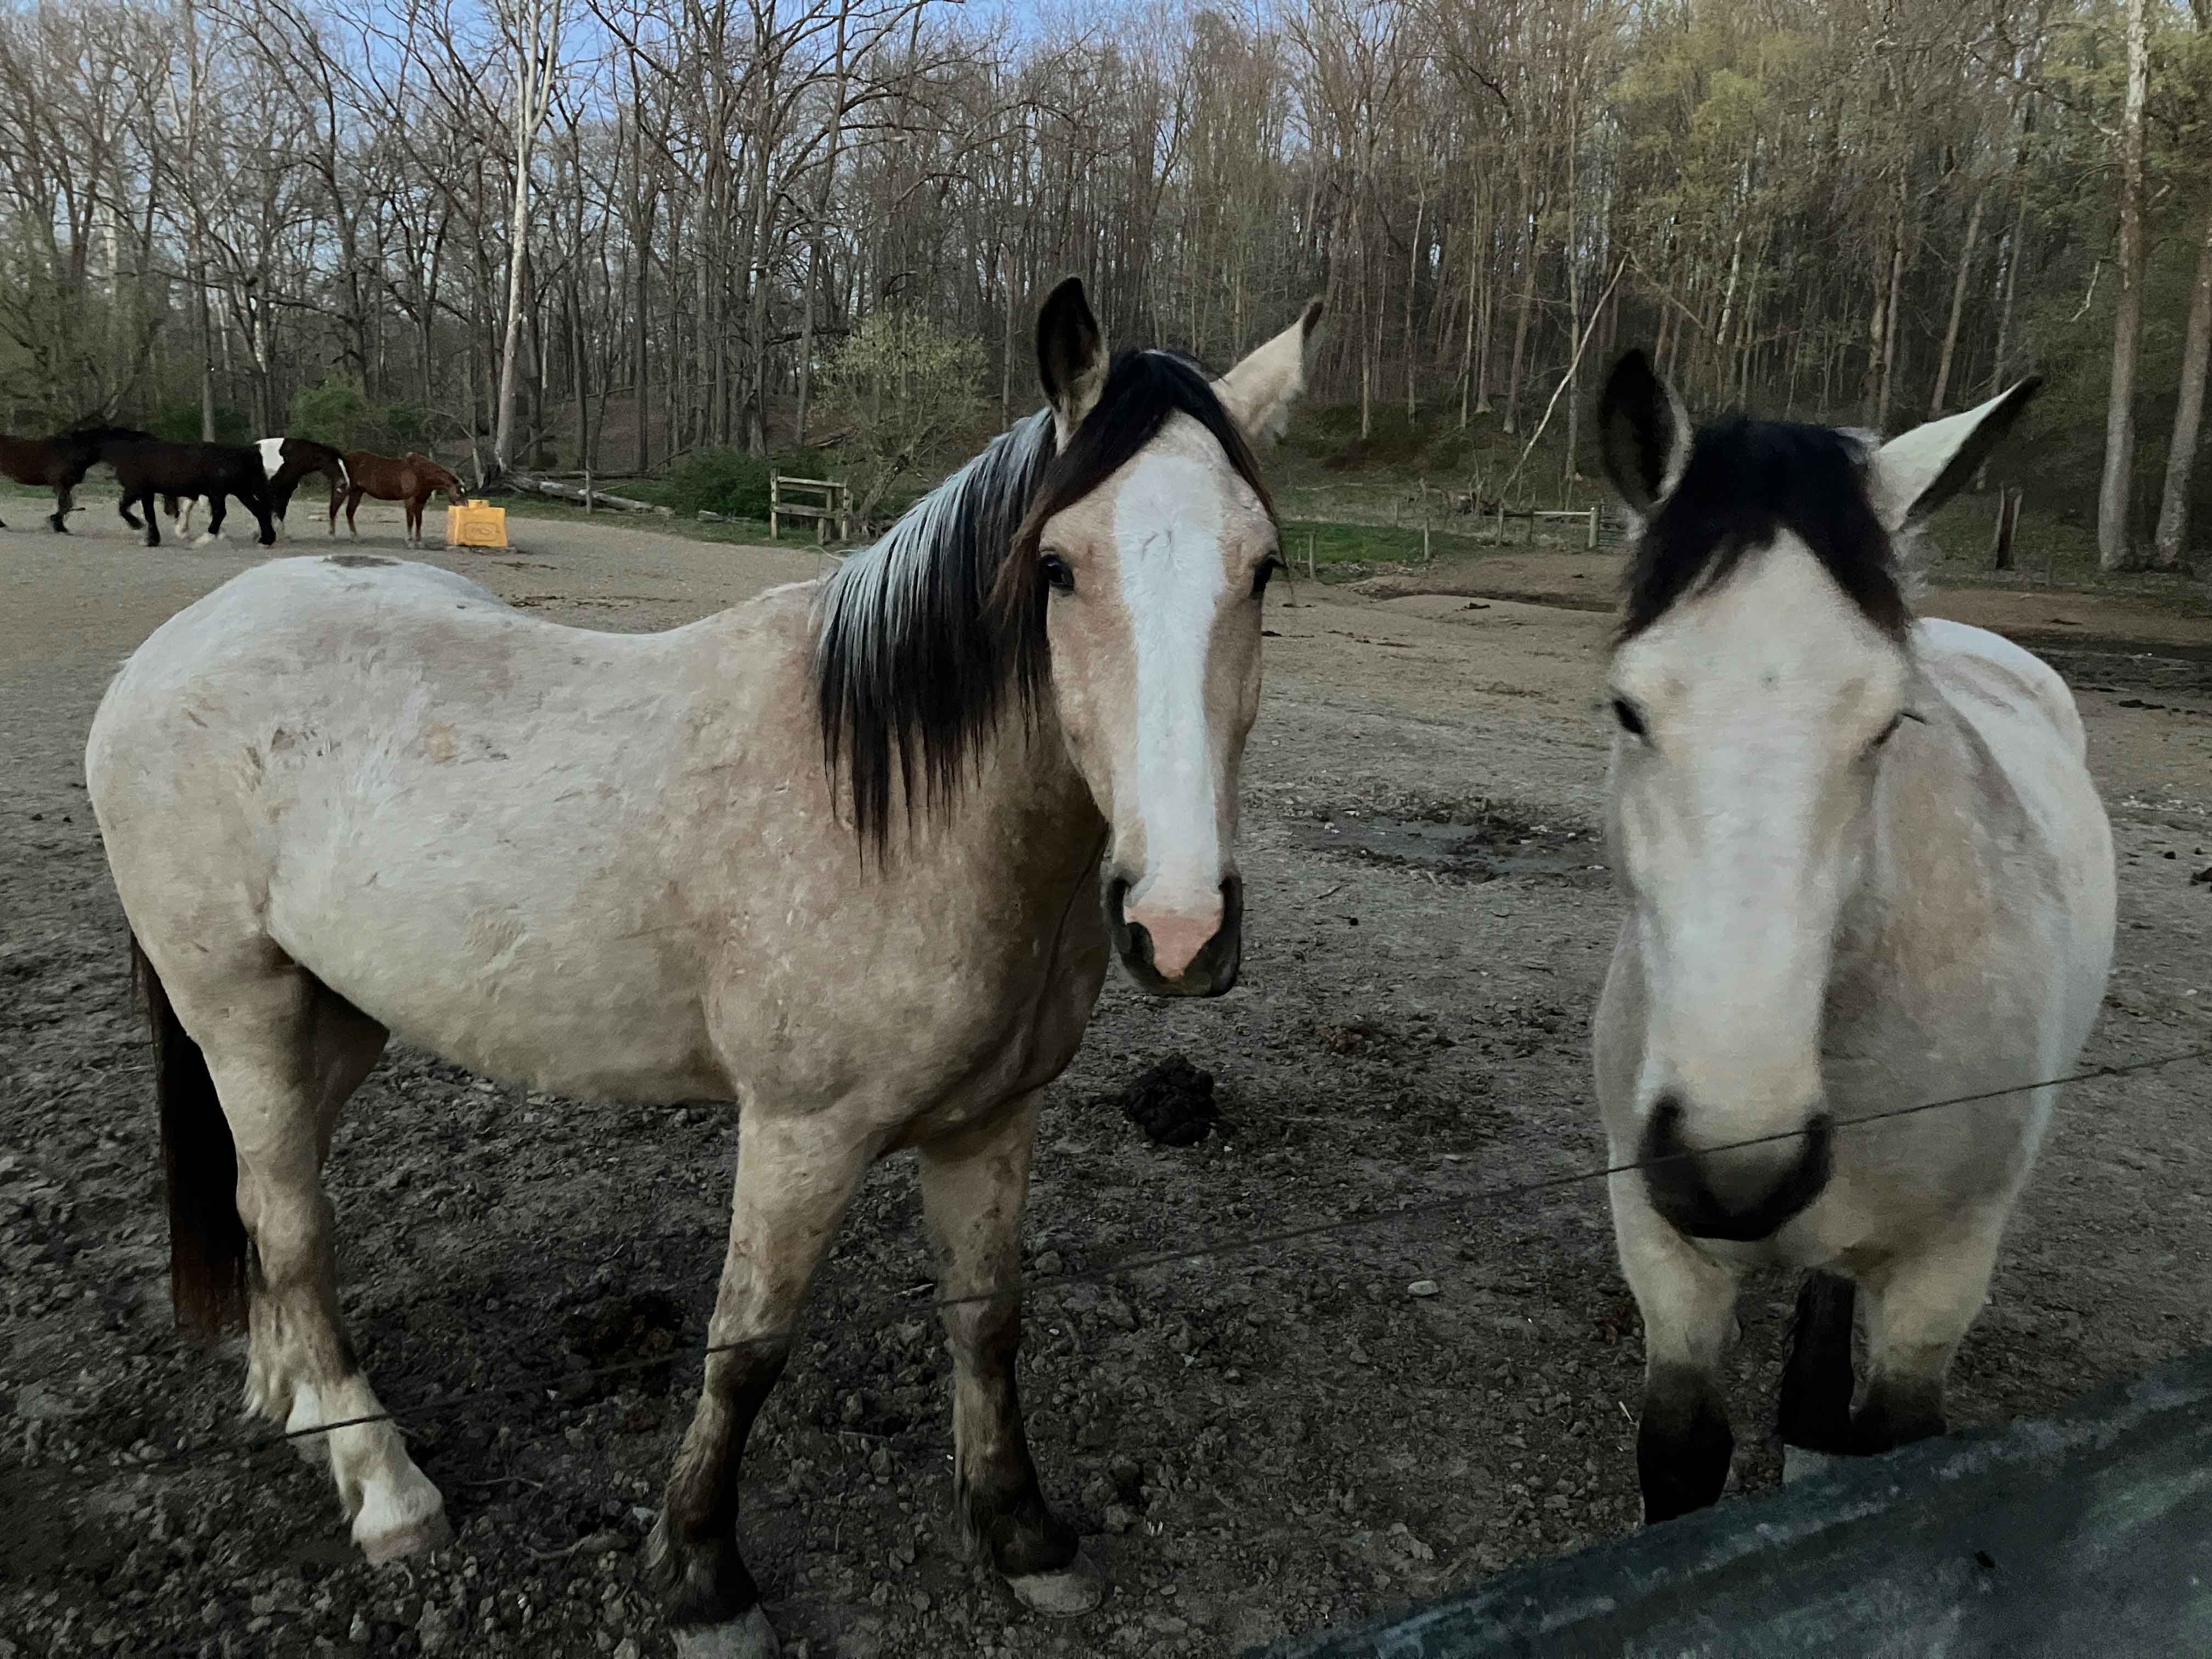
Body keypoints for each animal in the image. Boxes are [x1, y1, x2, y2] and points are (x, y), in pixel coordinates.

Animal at [0, 425, 150, 531]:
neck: (72, 452)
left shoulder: (67, 485)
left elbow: (67, 505)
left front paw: (58, 525)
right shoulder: (59, 484)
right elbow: (66, 504)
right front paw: (56, 523)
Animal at [106, 436, 277, 548]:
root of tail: (250, 452)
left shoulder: (136, 490)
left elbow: (125, 509)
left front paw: (138, 527)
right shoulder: (147, 492)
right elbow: (150, 514)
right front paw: (152, 539)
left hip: (221, 492)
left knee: (221, 513)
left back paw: (204, 539)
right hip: (242, 492)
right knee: (260, 511)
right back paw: (266, 540)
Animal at [164, 437, 349, 540]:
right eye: (336, 463)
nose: (345, 483)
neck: (285, 459)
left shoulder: (284, 493)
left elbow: (276, 513)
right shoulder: (272, 492)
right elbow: (270, 512)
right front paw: (265, 533)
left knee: (189, 506)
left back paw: (185, 532)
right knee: (202, 508)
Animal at [332, 449, 463, 547]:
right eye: (459, 493)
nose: (464, 508)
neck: (420, 472)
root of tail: (343, 461)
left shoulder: (421, 501)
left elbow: (419, 521)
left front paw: (419, 542)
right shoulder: (410, 499)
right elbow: (410, 520)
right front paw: (410, 542)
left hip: (357, 493)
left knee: (349, 512)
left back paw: (355, 538)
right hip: (345, 491)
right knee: (334, 509)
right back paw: (332, 535)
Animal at [1587, 350, 2116, 1525]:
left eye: (1887, 723)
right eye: (1627, 709)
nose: (1733, 1168)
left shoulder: (1936, 1282)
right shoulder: (1665, 1257)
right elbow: (1680, 1458)